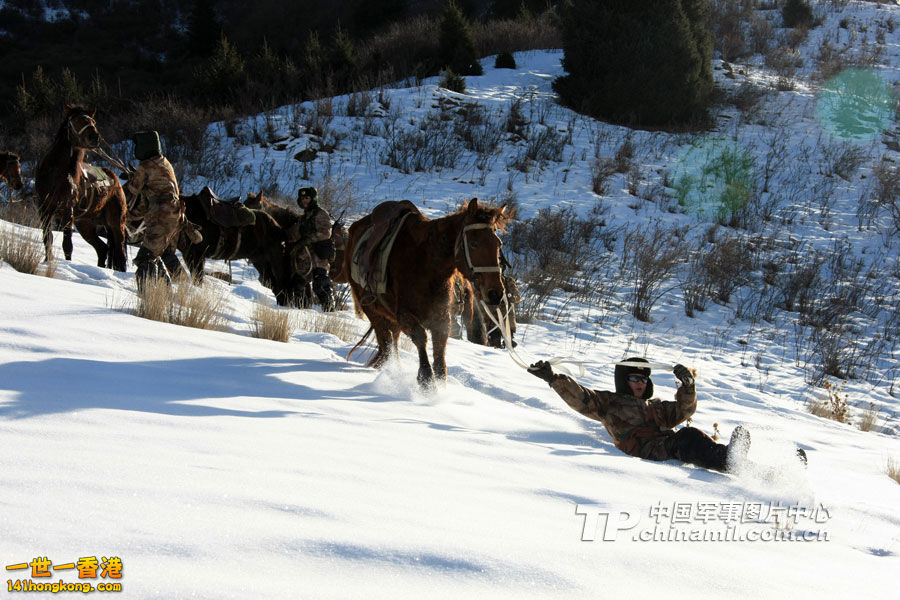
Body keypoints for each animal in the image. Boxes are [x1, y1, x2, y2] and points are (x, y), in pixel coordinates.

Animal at [33, 104, 126, 270]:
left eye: (93, 122)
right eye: (77, 120)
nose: (95, 137)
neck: (55, 174)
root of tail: (115, 180)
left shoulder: (67, 211)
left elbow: (67, 245)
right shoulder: (44, 209)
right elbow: (47, 238)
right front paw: (47, 261)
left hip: (116, 222)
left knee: (120, 253)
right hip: (85, 224)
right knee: (102, 249)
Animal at [346, 197, 512, 384]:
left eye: (498, 244)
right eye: (474, 243)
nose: (495, 293)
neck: (426, 263)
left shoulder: (441, 318)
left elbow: (440, 359)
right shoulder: (404, 315)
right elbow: (420, 337)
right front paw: (425, 379)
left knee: (392, 340)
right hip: (371, 308)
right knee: (386, 340)